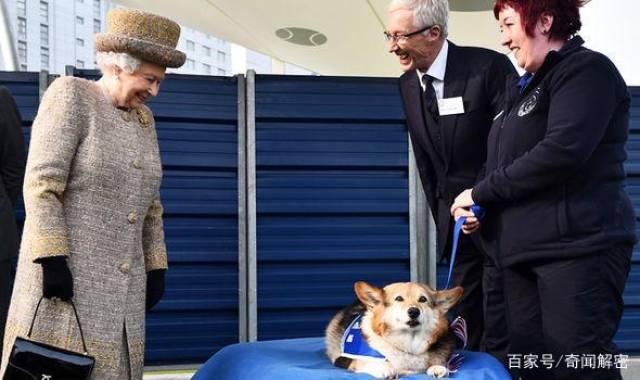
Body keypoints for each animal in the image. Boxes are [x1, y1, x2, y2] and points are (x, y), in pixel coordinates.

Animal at [328, 280, 462, 378]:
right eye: (399, 298)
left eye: (423, 299)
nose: (414, 311)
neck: (408, 341)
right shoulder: (343, 358)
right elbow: (364, 361)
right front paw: (384, 368)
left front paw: (438, 367)